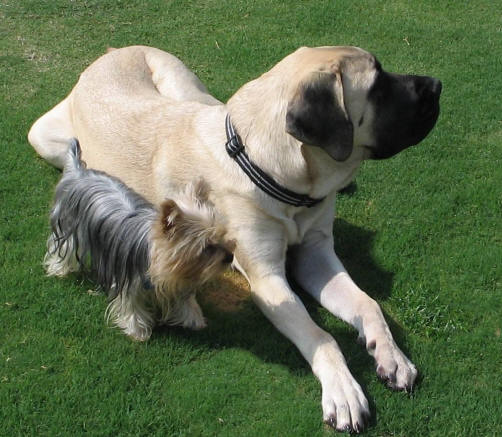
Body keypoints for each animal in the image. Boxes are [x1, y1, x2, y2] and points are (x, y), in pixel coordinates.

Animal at [45, 140, 233, 340]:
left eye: (222, 237)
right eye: (207, 247)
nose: (230, 257)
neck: (155, 253)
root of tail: (78, 171)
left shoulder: (178, 276)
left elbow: (185, 300)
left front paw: (193, 319)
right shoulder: (129, 280)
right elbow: (131, 304)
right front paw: (137, 331)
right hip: (67, 224)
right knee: (64, 247)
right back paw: (58, 270)